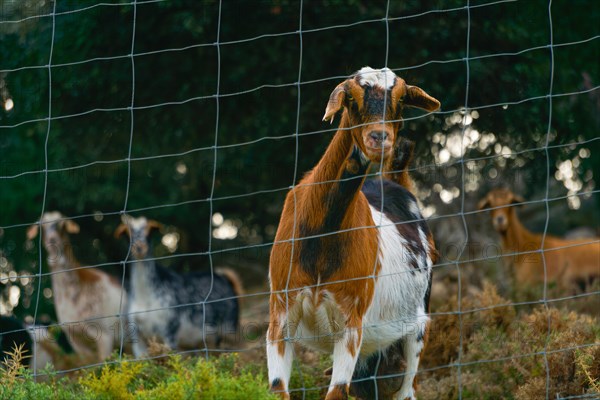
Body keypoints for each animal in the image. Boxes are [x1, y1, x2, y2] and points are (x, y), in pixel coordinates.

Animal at [268, 68, 440, 400]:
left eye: (402, 99)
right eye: (351, 98)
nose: (379, 138)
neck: (321, 232)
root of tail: (394, 181)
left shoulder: (351, 323)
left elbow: (336, 392)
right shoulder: (280, 313)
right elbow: (277, 389)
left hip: (417, 325)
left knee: (406, 390)